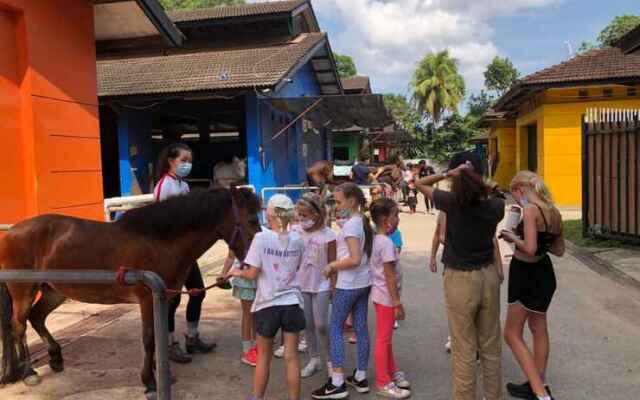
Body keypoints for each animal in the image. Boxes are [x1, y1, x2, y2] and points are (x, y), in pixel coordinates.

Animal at [0, 187, 262, 394]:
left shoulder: (163, 298)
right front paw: (150, 381)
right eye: (251, 220)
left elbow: (158, 333)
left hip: (54, 291)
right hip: (23, 291)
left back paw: (55, 358)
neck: (159, 242)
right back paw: (29, 372)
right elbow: (149, 338)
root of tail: (10, 233)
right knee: (18, 325)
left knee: (36, 317)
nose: (257, 262)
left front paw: (160, 372)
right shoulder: (147, 298)